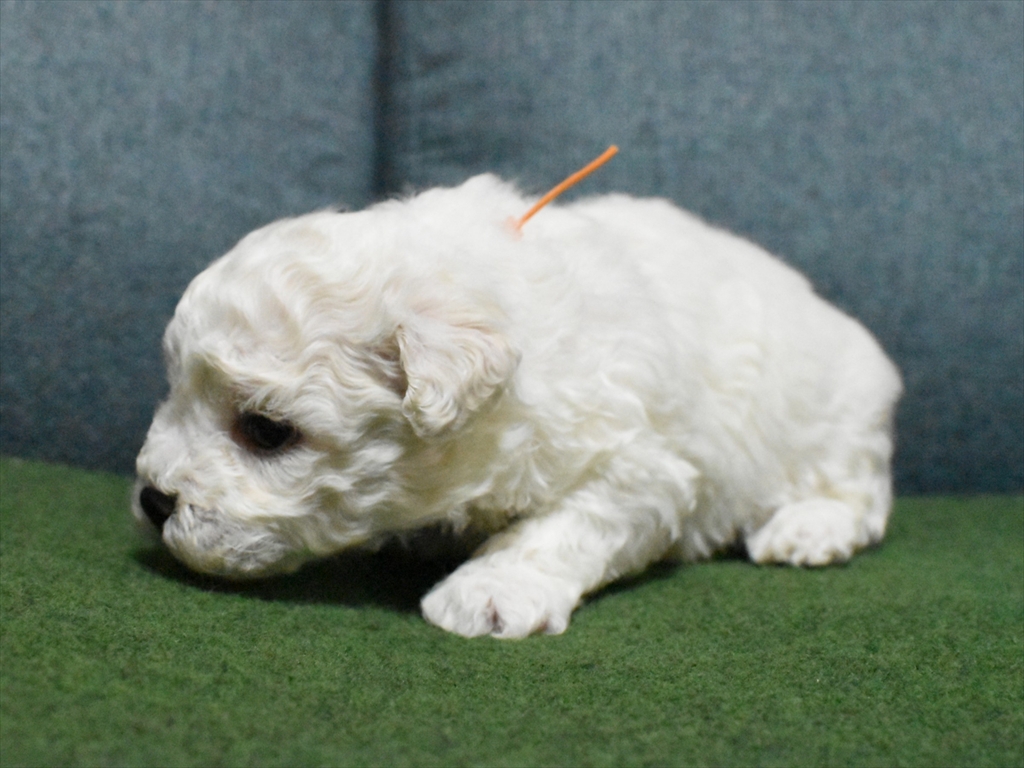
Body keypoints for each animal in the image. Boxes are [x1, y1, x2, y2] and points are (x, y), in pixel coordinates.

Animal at [134, 174, 902, 638]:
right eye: (172, 389)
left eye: (267, 431)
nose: (152, 499)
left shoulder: (641, 465)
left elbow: (557, 530)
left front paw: (488, 592)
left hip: (837, 419)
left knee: (859, 494)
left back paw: (808, 527)